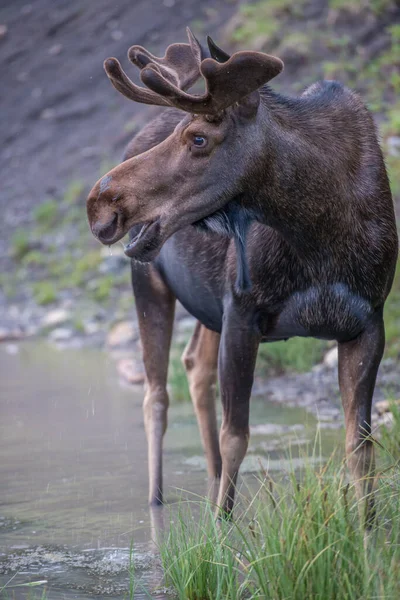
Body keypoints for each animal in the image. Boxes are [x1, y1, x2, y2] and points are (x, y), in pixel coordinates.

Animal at [86, 29, 396, 520]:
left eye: (198, 138)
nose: (99, 203)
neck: (321, 234)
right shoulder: (243, 311)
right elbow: (237, 438)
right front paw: (220, 528)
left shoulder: (368, 322)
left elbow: (361, 447)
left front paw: (367, 530)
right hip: (150, 282)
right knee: (156, 395)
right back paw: (157, 502)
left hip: (207, 300)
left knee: (194, 366)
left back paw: (209, 479)